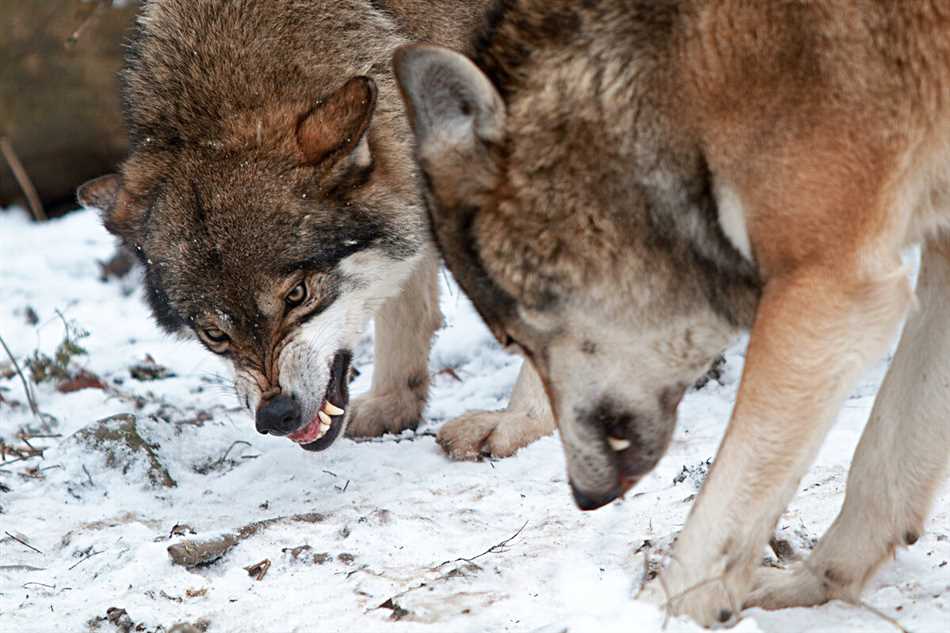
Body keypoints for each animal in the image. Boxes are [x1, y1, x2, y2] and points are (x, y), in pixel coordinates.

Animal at [80, 2, 556, 460]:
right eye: (214, 334)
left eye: (297, 295)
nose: (276, 415)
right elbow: (403, 303)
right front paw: (392, 403)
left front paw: (520, 423)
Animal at [396, 0, 950, 624]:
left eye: (515, 339)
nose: (585, 497)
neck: (688, 78)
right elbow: (884, 461)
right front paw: (813, 585)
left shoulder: (830, 288)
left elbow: (722, 510)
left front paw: (663, 611)